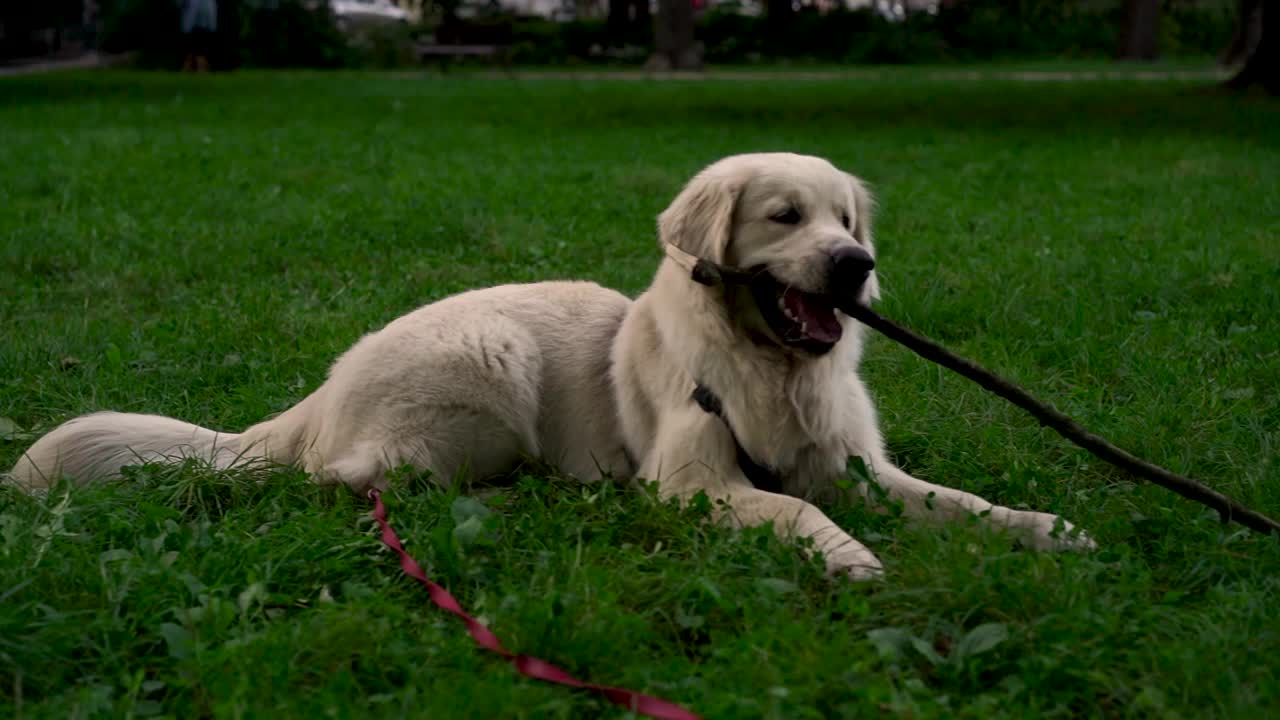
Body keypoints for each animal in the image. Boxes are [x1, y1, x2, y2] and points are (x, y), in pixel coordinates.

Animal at [7, 151, 1090, 576]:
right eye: (784, 217)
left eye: (846, 221)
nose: (855, 266)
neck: (763, 364)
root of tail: (321, 392)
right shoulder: (691, 480)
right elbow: (792, 509)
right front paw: (846, 555)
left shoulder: (861, 467)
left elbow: (961, 503)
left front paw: (1050, 529)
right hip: (488, 360)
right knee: (356, 481)